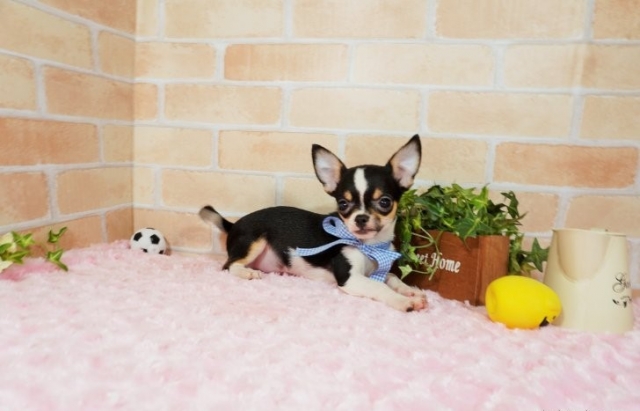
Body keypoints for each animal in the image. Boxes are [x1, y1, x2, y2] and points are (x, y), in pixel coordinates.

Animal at [199, 135, 427, 312]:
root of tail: (233, 225)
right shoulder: (350, 278)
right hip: (254, 241)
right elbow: (379, 287)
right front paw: (403, 301)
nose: (360, 218)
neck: (370, 245)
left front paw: (410, 291)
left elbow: (393, 278)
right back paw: (247, 272)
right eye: (343, 204)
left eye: (385, 202)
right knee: (228, 265)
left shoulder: (377, 271)